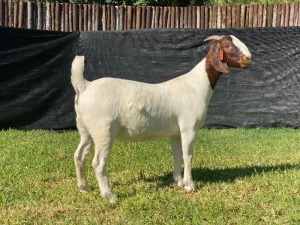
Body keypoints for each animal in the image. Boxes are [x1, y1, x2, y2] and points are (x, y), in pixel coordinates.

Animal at [69, 34, 251, 203]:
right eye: (227, 45)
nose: (248, 59)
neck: (197, 84)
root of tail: (84, 86)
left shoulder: (176, 131)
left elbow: (177, 154)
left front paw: (178, 181)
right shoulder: (189, 127)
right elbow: (188, 155)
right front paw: (190, 185)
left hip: (86, 129)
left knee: (79, 155)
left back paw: (84, 188)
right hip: (104, 131)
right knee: (98, 162)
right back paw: (110, 196)